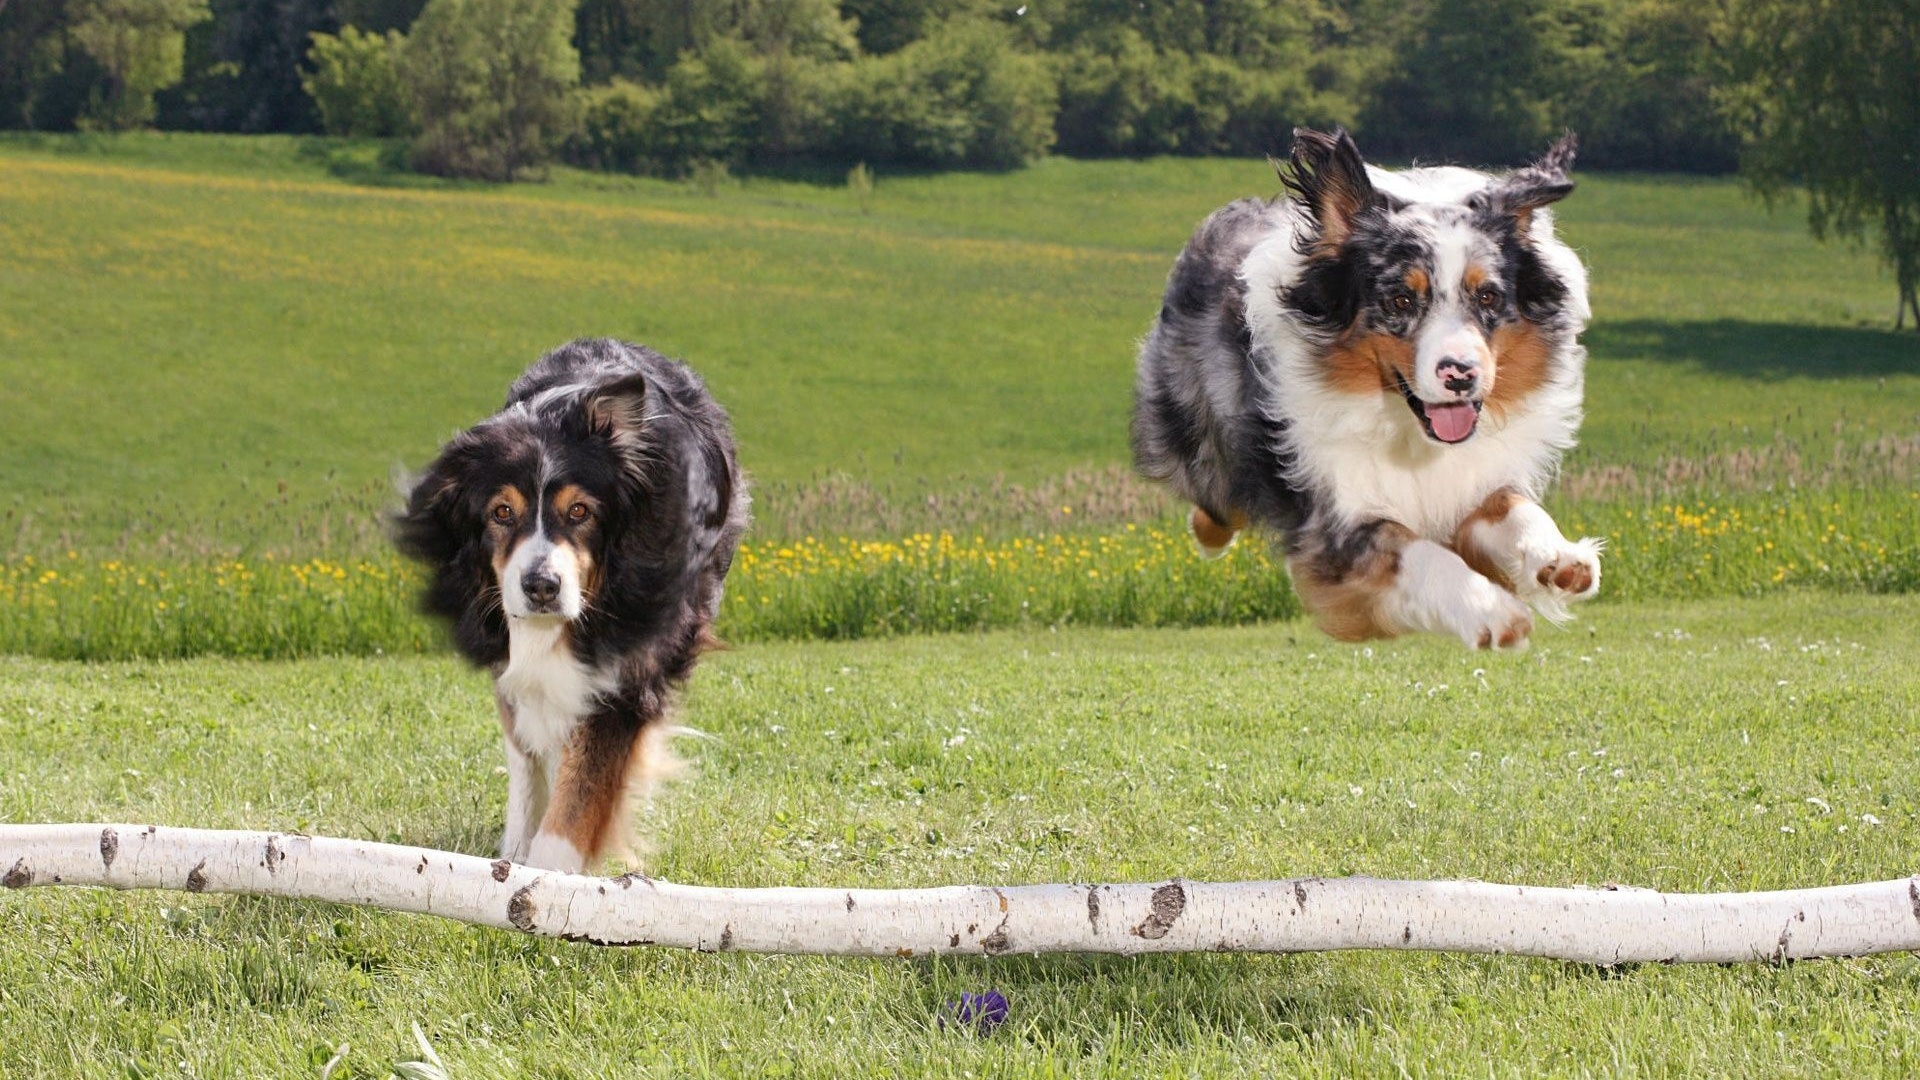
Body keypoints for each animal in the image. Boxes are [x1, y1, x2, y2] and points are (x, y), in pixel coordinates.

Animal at [393, 340, 744, 868]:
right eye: (501, 512)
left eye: (580, 511)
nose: (542, 587)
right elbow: (526, 748)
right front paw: (516, 854)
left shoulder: (630, 667)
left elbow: (584, 783)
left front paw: (548, 873)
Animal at [1128, 125, 1597, 645]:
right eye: (1400, 300)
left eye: (1489, 296)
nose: (1460, 375)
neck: (1407, 430)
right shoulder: (1337, 520)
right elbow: (1418, 552)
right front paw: (1491, 610)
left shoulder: (1471, 482)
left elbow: (1513, 507)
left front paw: (1557, 557)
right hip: (1200, 439)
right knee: (1217, 504)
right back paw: (1210, 537)